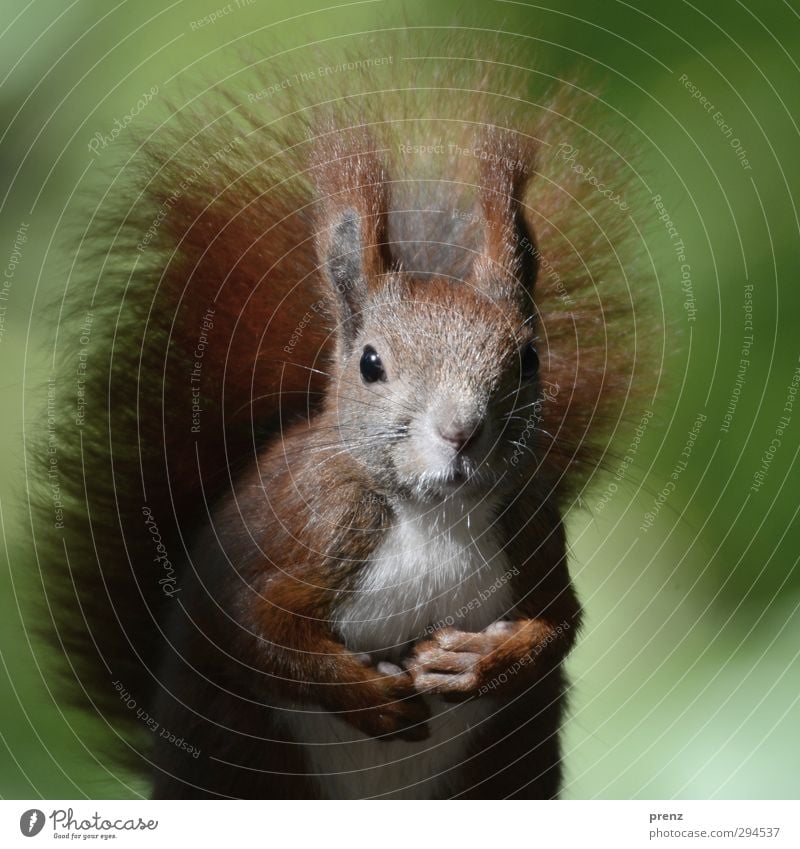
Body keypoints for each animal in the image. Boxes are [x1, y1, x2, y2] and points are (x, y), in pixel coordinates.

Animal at [36, 44, 644, 800]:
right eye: (371, 362)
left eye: (530, 358)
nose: (460, 432)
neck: (429, 512)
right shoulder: (316, 523)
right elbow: (261, 637)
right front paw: (369, 697)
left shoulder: (529, 521)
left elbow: (559, 623)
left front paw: (473, 663)